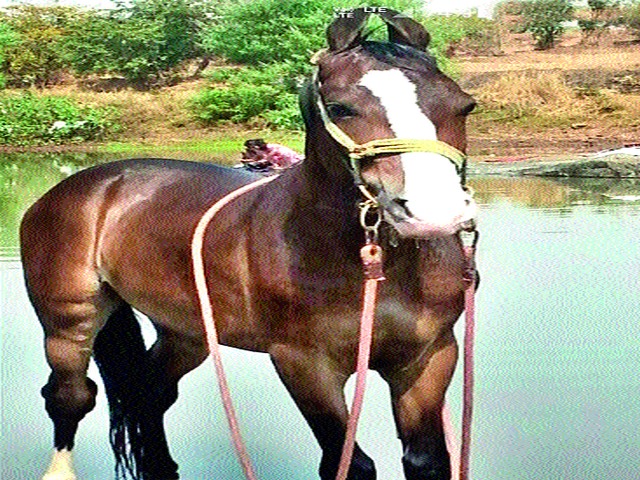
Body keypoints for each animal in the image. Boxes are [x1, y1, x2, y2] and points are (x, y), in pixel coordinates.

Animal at [20, 8, 477, 480]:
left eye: (464, 105)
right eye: (341, 108)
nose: (435, 211)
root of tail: (90, 184)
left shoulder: (428, 355)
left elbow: (427, 460)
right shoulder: (304, 364)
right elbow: (349, 463)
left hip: (186, 332)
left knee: (149, 392)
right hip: (69, 323)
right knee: (70, 397)